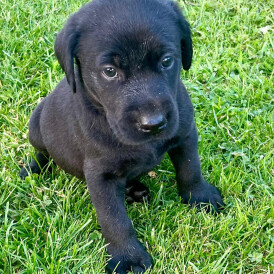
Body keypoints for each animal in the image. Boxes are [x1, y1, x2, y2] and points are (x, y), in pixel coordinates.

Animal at [20, 0, 223, 272]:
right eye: (109, 71)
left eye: (167, 61)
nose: (153, 124)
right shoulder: (100, 175)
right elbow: (114, 219)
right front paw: (128, 257)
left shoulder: (185, 134)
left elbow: (191, 169)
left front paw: (200, 197)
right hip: (36, 125)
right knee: (43, 153)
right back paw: (33, 168)